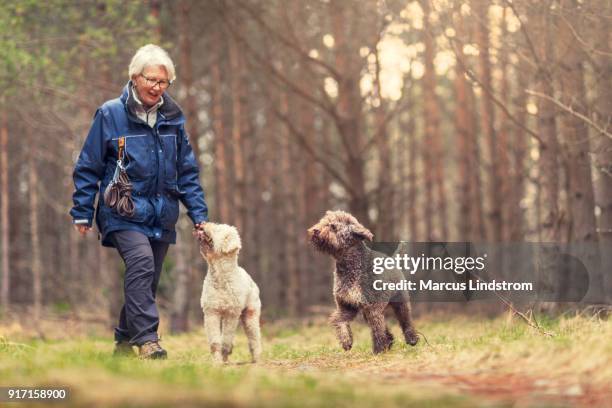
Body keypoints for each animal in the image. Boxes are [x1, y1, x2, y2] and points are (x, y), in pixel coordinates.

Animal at [195, 223, 262, 364]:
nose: (202, 224)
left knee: (254, 337)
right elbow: (215, 341)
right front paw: (217, 361)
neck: (220, 277)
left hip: (250, 314)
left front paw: (225, 353)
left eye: (218, 228)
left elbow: (225, 338)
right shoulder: (211, 312)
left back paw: (256, 359)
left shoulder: (231, 313)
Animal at [308, 210, 418, 354]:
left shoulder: (372, 307)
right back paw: (389, 341)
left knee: (406, 321)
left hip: (400, 302)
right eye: (323, 222)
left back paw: (412, 339)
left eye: (333, 226)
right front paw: (346, 341)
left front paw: (378, 350)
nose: (316, 230)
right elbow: (339, 321)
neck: (351, 266)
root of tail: (392, 259)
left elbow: (377, 330)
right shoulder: (347, 306)